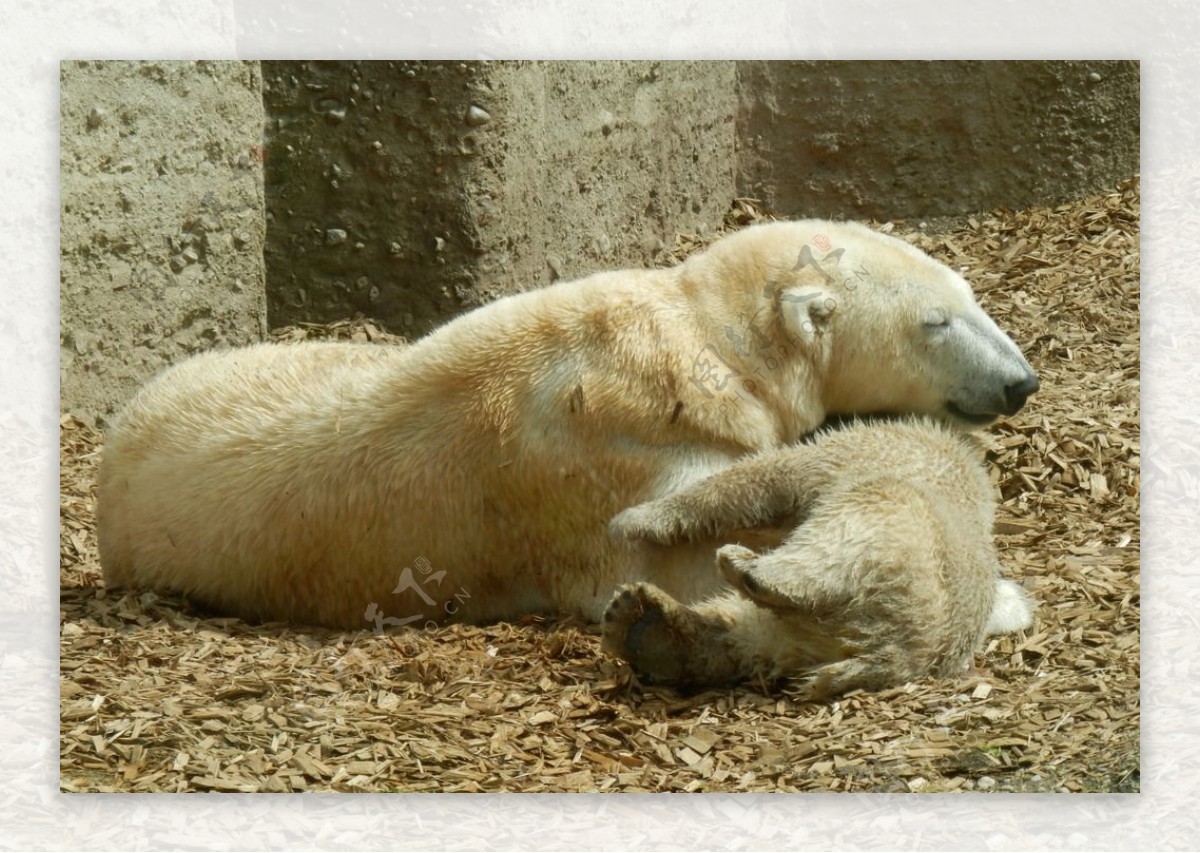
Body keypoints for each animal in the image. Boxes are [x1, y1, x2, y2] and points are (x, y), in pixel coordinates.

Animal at [98, 223, 1036, 628]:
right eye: (936, 323)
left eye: (971, 292)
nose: (1020, 380)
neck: (702, 344)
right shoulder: (605, 464)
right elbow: (671, 551)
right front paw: (1005, 598)